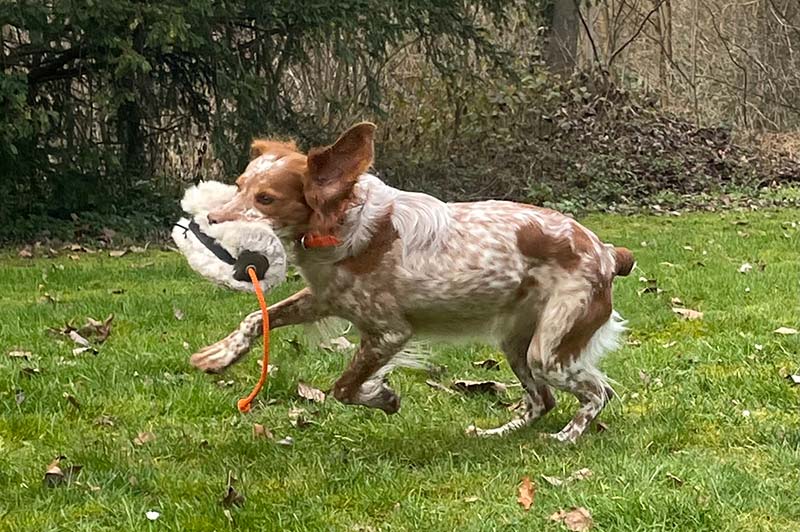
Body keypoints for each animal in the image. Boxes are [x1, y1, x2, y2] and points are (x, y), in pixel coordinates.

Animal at [189, 122, 632, 442]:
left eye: (266, 198)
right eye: (239, 187)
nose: (209, 219)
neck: (342, 227)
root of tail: (606, 250)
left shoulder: (389, 333)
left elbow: (344, 387)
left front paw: (382, 396)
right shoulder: (325, 298)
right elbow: (255, 319)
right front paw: (220, 355)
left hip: (549, 349)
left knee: (598, 392)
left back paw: (567, 437)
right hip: (516, 344)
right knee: (542, 400)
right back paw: (495, 433)